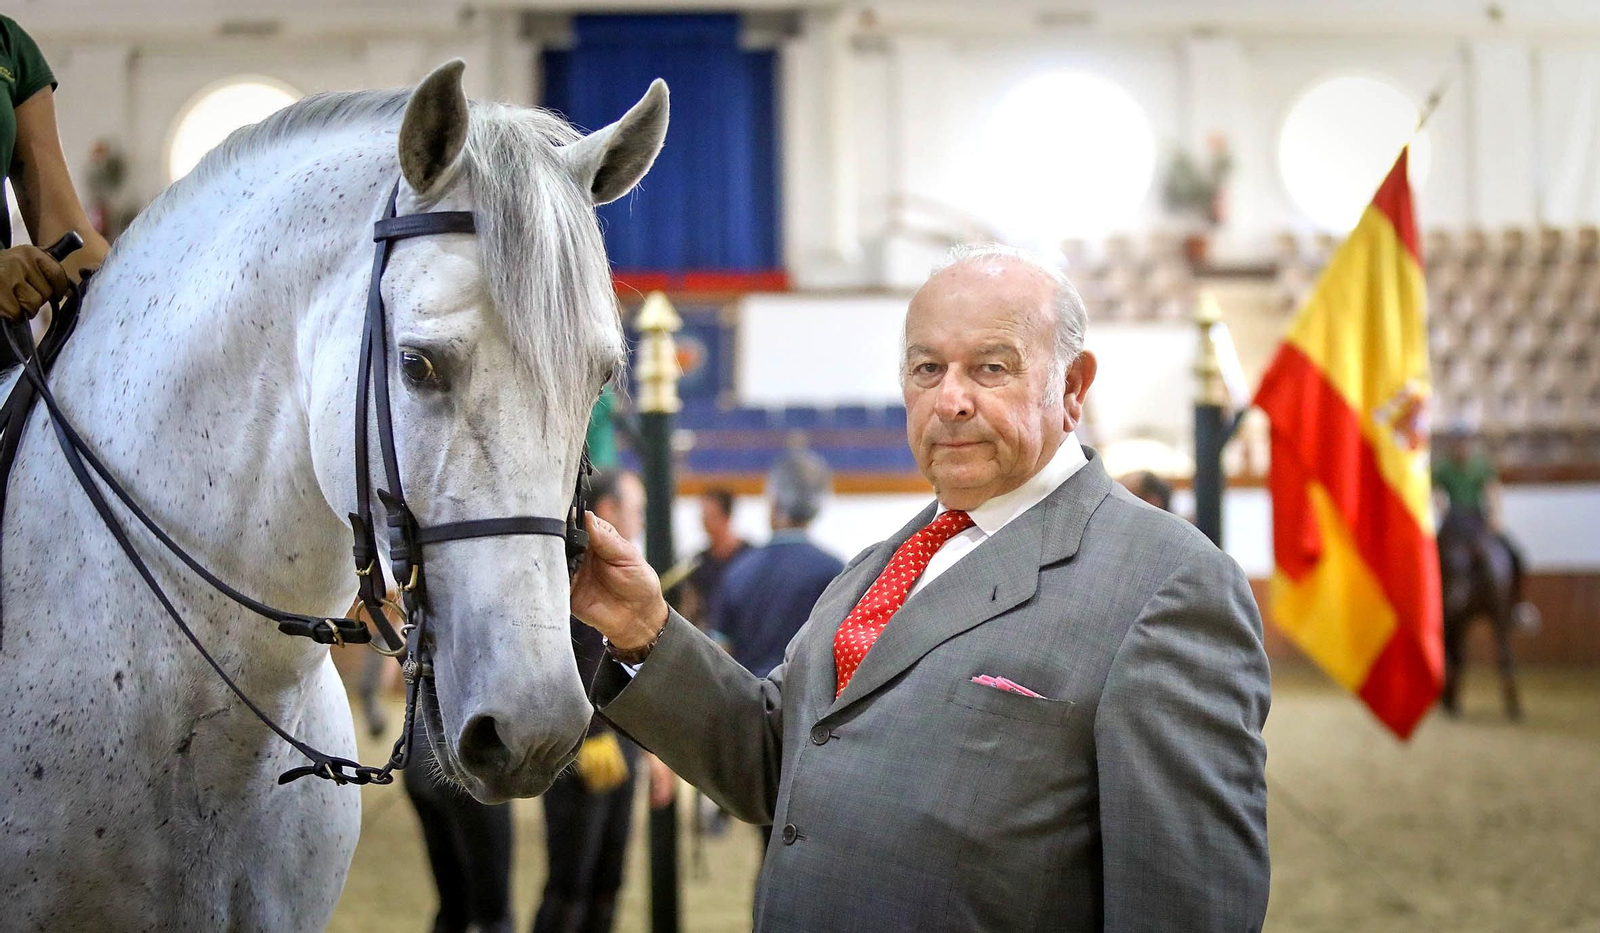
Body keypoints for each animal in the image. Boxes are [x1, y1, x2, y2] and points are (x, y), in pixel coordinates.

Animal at [1437, 506, 1527, 720]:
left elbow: (1454, 655)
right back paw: (1514, 707)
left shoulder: (1455, 618)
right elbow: (1457, 656)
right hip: (1498, 611)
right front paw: (1450, 700)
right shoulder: (1460, 619)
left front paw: (1449, 700)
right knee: (1505, 654)